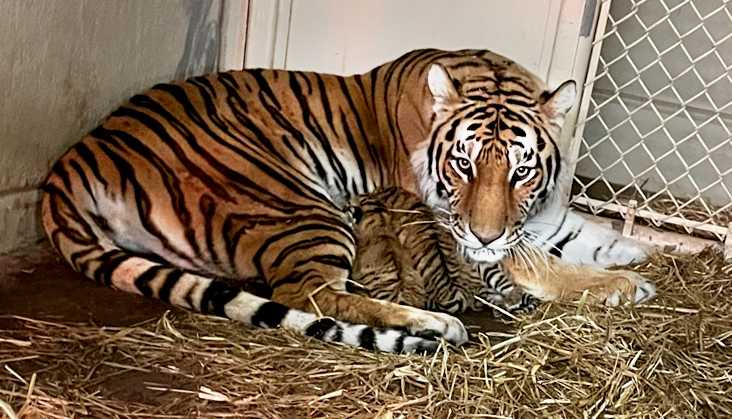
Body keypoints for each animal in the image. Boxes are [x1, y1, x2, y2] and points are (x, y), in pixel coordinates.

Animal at [41, 48, 656, 354]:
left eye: (522, 171)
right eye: (463, 165)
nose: (484, 236)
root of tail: (72, 162)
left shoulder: (534, 213)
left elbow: (586, 231)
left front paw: (636, 255)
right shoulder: (453, 223)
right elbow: (543, 264)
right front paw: (621, 285)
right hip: (301, 207)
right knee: (307, 294)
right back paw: (434, 324)